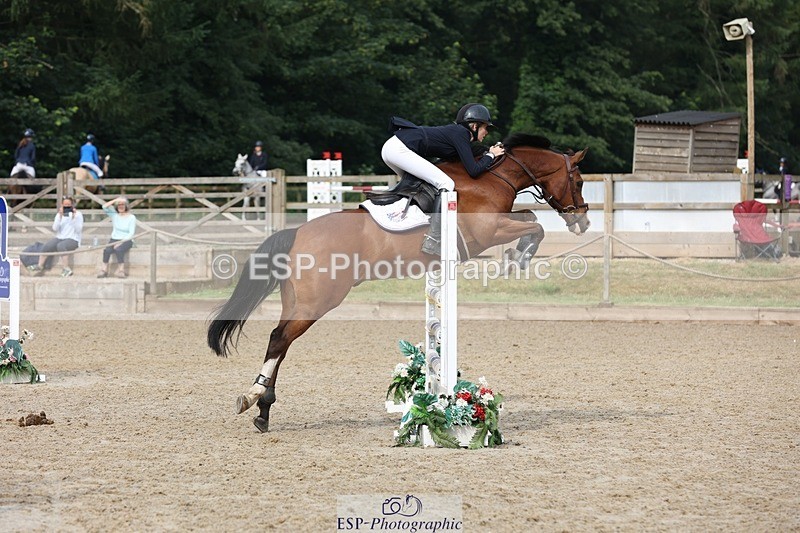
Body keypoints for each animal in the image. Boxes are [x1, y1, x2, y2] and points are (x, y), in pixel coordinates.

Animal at [208, 133, 590, 433]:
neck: (493, 177)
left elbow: (530, 217)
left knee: (281, 344)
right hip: (317, 302)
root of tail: (298, 232)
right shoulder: (489, 231)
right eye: (579, 181)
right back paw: (254, 397)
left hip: (298, 300)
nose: (582, 221)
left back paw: (262, 412)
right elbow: (534, 224)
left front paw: (518, 256)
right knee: (278, 339)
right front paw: (518, 257)